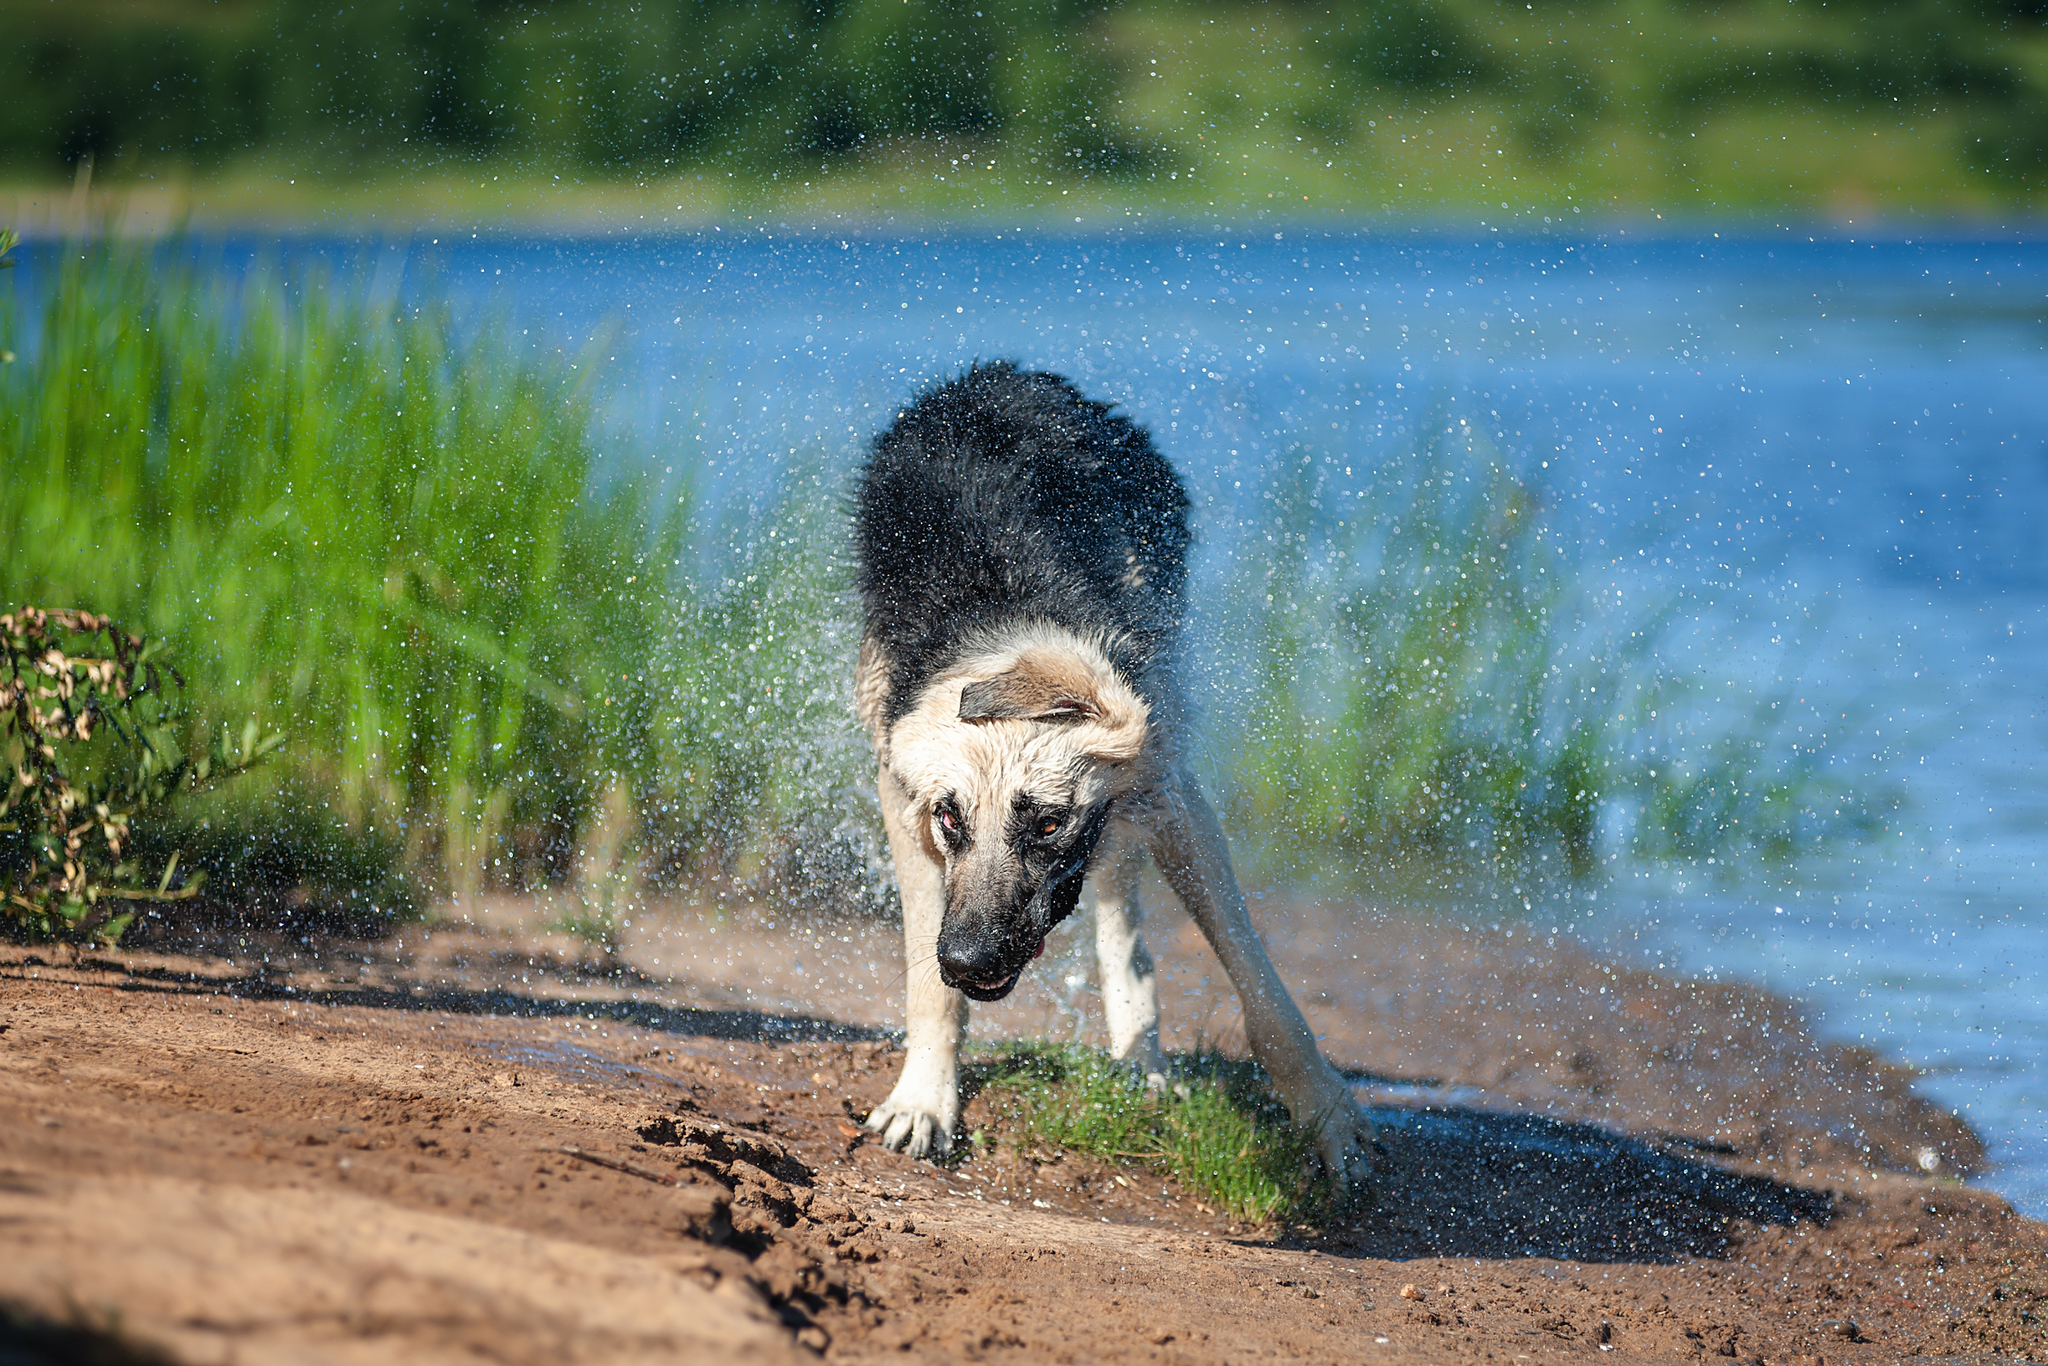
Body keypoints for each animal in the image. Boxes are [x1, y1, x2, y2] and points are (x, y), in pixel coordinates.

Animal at [847, 360, 1376, 1187]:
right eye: (950, 818)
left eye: (1048, 822)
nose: (969, 961)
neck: (1008, 630)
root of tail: (1003, 375)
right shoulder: (902, 800)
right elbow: (924, 985)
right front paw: (925, 1098)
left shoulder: (1174, 798)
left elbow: (1266, 995)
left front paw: (1327, 1115)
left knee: (1122, 915)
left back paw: (1140, 1053)